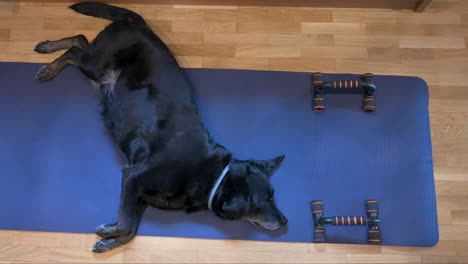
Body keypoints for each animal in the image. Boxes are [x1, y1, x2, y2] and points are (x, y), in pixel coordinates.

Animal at [33, 2, 288, 254]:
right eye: (263, 203)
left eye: (274, 196)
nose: (285, 221)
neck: (213, 175)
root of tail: (139, 23)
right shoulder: (132, 177)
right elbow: (125, 224)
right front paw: (108, 232)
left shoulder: (141, 195)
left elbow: (130, 229)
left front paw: (109, 241)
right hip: (95, 65)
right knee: (75, 50)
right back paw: (48, 63)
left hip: (98, 68)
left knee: (80, 40)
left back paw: (47, 49)